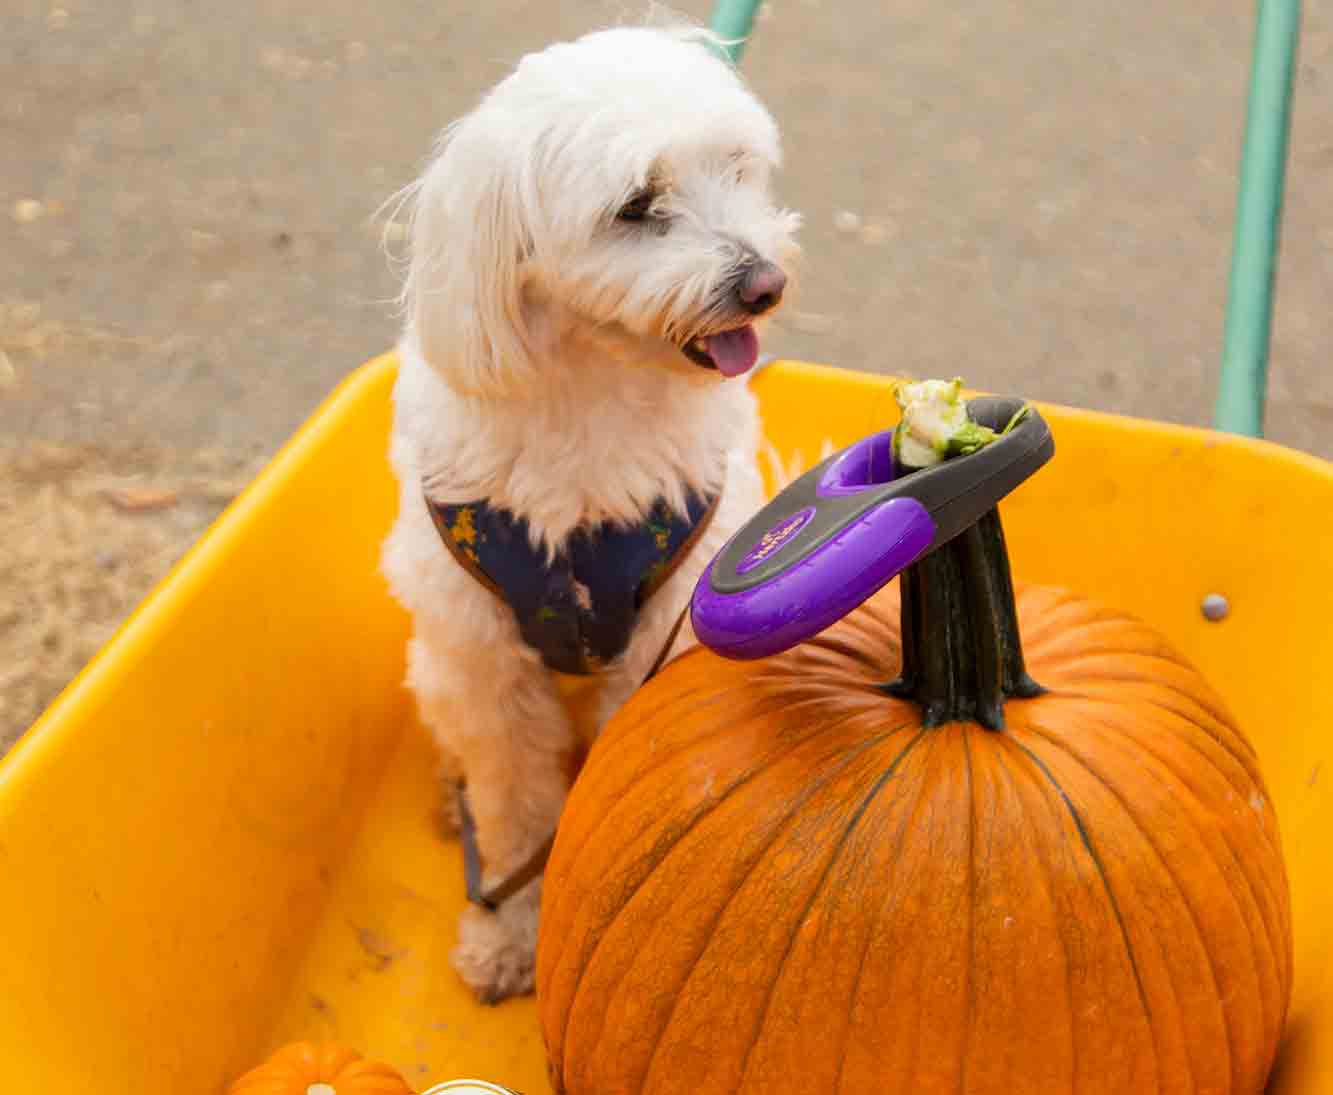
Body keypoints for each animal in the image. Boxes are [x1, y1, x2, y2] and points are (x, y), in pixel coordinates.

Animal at [381, 23, 794, 997]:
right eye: (637, 205)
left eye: (736, 168)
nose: (765, 282)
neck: (592, 384)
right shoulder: (486, 662)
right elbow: (515, 808)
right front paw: (507, 930)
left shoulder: (668, 626)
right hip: (439, 666)